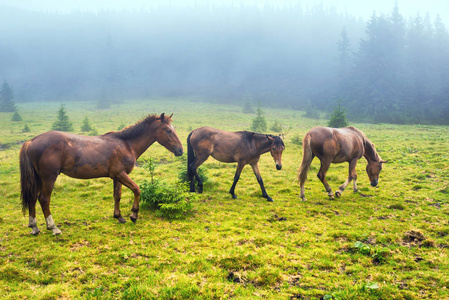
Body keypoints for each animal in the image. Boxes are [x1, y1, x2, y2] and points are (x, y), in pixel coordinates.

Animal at [20, 112, 182, 234]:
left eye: (174, 128)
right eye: (168, 130)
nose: (180, 150)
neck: (125, 144)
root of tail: (32, 141)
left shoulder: (117, 177)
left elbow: (117, 195)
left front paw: (118, 216)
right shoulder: (121, 174)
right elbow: (137, 189)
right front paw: (134, 214)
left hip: (38, 178)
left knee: (33, 198)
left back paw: (34, 227)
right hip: (49, 178)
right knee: (44, 199)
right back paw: (53, 227)